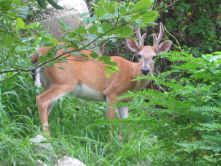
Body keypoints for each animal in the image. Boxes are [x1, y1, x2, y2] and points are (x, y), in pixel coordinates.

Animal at [31, 22, 173, 136]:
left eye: (154, 56)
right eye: (139, 55)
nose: (145, 70)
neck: (131, 76)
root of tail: (42, 52)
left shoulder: (124, 100)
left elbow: (128, 125)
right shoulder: (112, 93)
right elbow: (111, 122)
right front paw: (112, 145)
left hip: (48, 82)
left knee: (47, 105)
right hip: (65, 81)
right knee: (41, 100)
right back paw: (47, 136)